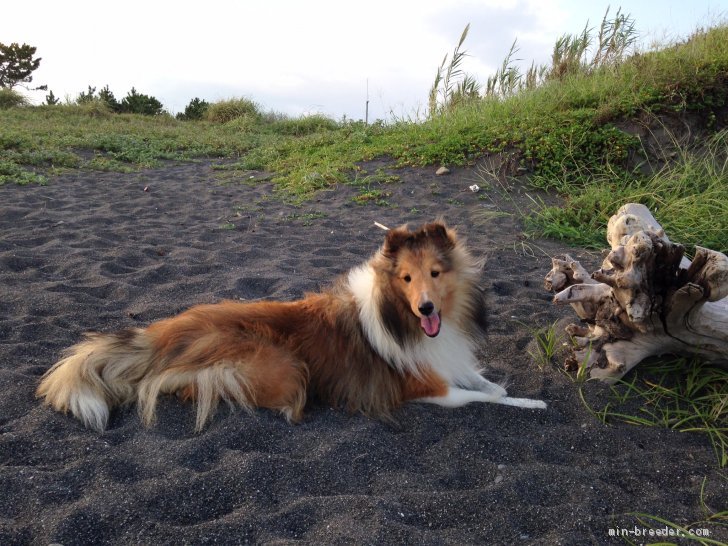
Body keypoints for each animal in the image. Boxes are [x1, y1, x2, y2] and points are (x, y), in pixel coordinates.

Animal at [35, 220, 544, 430]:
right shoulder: (427, 388)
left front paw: (516, 391)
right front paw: (531, 403)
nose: (425, 309)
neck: (401, 319)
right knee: (176, 384)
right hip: (283, 368)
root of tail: (170, 327)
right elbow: (483, 397)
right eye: (406, 279)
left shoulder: (449, 359)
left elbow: (487, 381)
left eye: (435, 274)